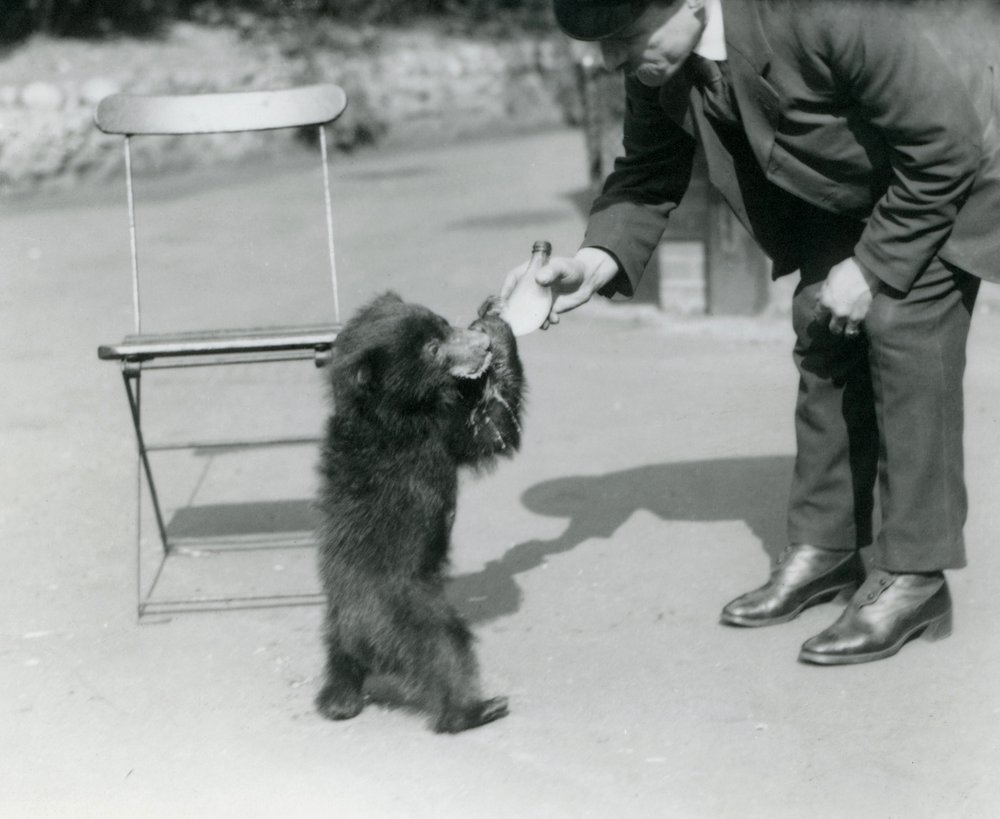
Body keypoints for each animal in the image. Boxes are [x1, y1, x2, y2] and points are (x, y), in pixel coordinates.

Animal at [315, 291, 524, 733]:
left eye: (443, 326)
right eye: (432, 349)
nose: (479, 344)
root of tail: (357, 635)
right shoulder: (431, 432)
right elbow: (491, 430)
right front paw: (497, 327)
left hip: (338, 631)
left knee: (340, 666)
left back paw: (337, 702)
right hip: (408, 615)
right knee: (444, 648)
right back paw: (475, 710)